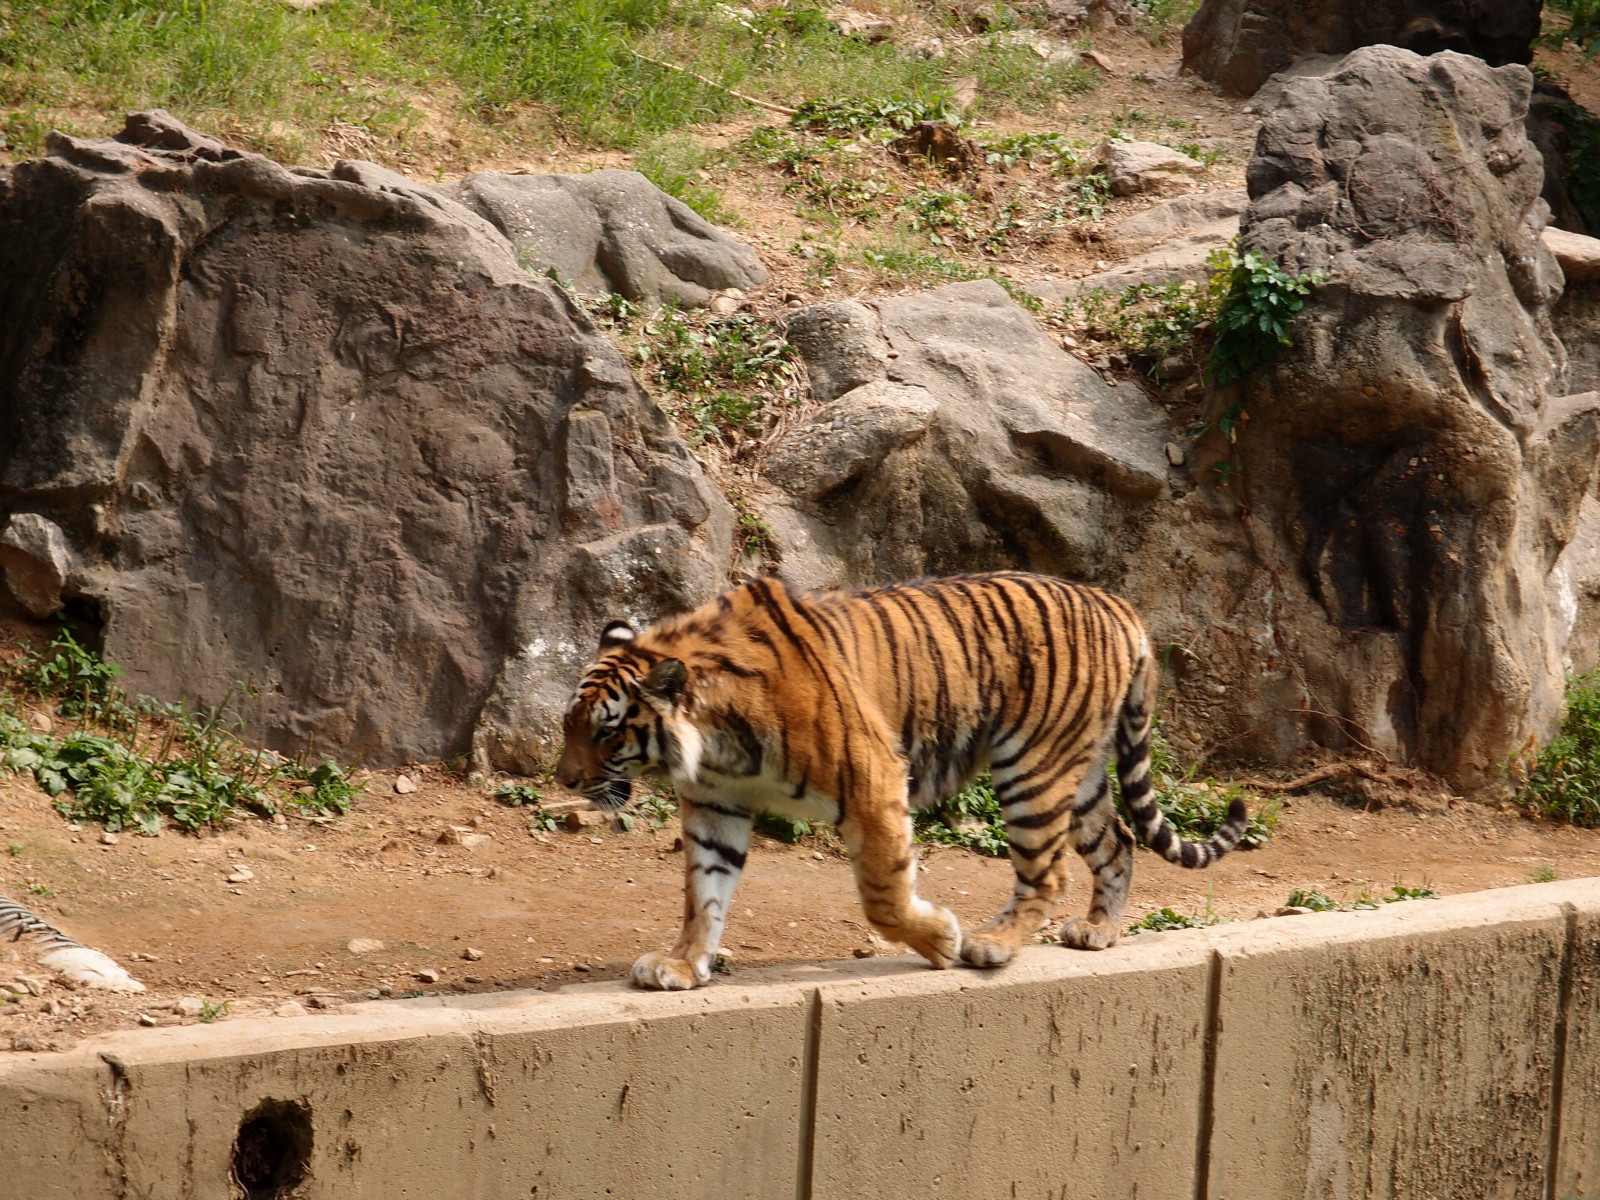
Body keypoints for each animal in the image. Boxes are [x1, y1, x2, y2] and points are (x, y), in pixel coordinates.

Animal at [554, 572, 1249, 990]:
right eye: (569, 724)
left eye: (607, 733)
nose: (564, 778)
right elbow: (704, 893)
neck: (716, 741)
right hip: (1079, 777)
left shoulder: (875, 780)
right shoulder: (715, 807)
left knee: (1048, 871)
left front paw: (940, 939)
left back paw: (991, 945)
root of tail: (1119, 604)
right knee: (1120, 845)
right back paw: (1098, 932)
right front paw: (682, 962)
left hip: (1034, 768)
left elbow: (883, 896)